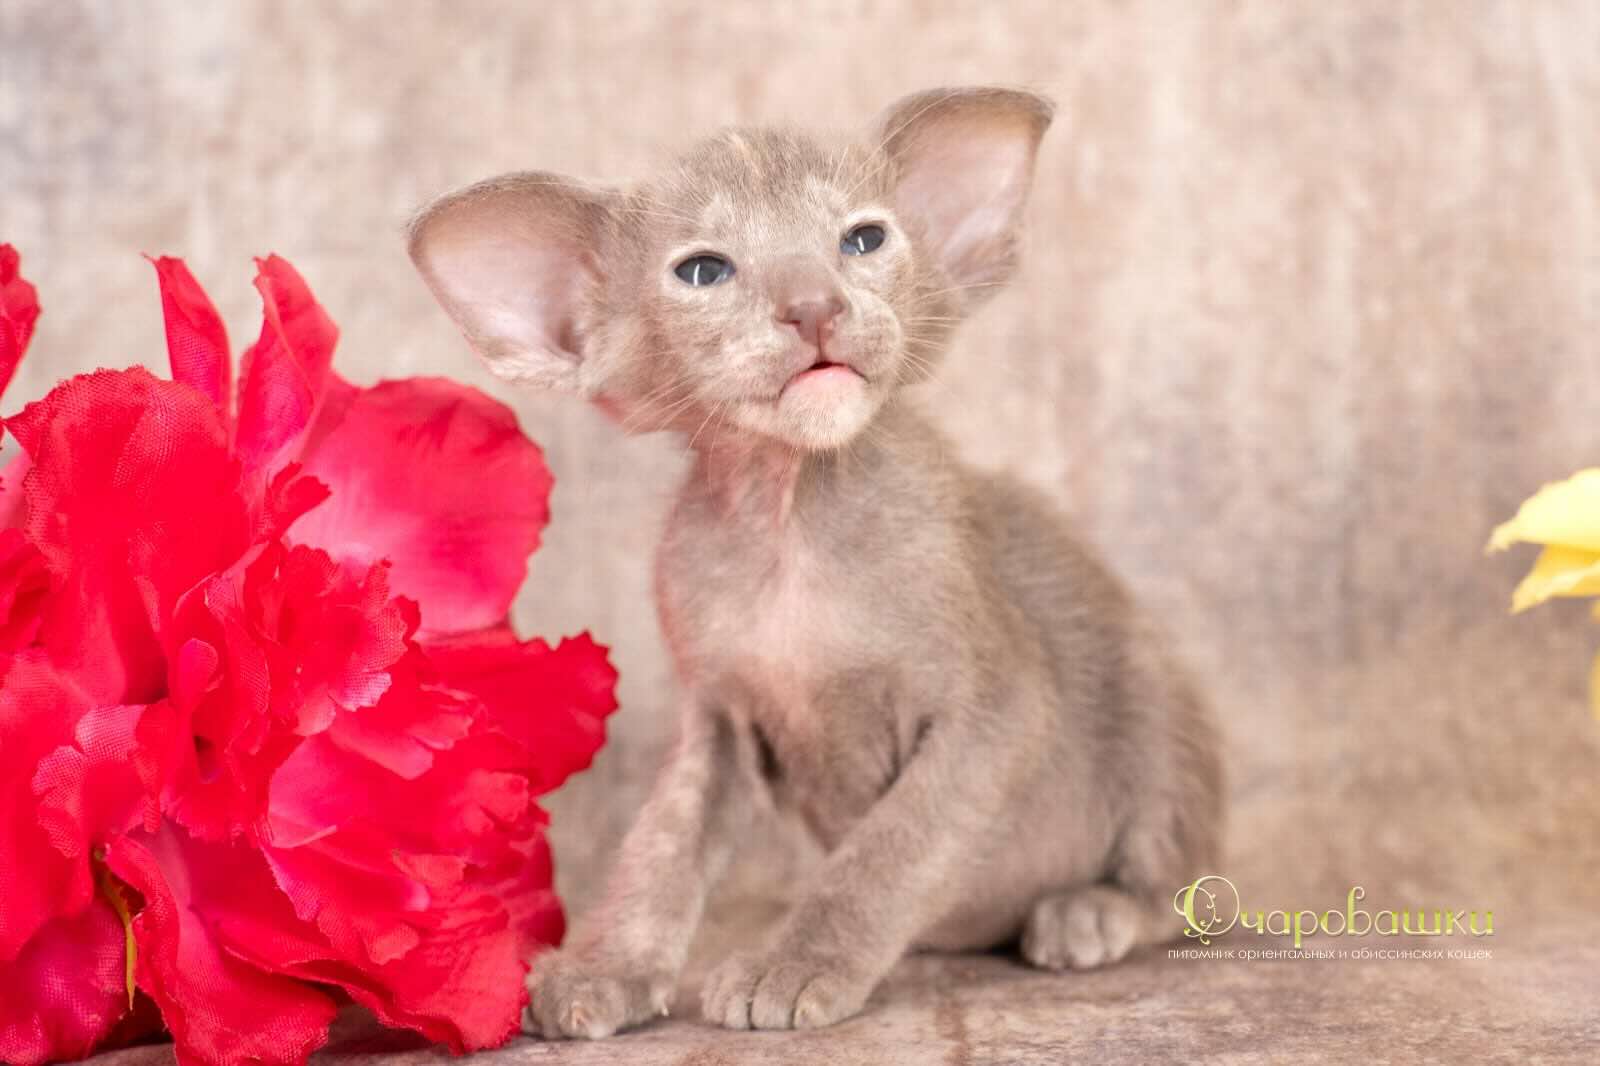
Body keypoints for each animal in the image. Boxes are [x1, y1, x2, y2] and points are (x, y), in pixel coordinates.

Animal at [407, 86, 1223, 1037]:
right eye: (704, 271)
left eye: (863, 240)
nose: (814, 306)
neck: (789, 517)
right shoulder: (717, 721)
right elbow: (661, 847)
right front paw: (608, 965)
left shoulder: (997, 708)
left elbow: (886, 850)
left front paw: (796, 962)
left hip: (1153, 698)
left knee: (1176, 885)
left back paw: (1088, 911)